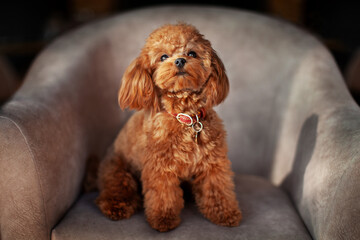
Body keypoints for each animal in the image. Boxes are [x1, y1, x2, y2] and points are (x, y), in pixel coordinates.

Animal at [95, 23, 242, 232]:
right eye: (163, 57)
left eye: (192, 53)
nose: (180, 60)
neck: (186, 117)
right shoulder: (159, 167)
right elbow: (163, 195)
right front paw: (163, 219)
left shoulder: (213, 163)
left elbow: (217, 188)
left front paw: (225, 213)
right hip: (118, 172)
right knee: (114, 192)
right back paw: (116, 207)